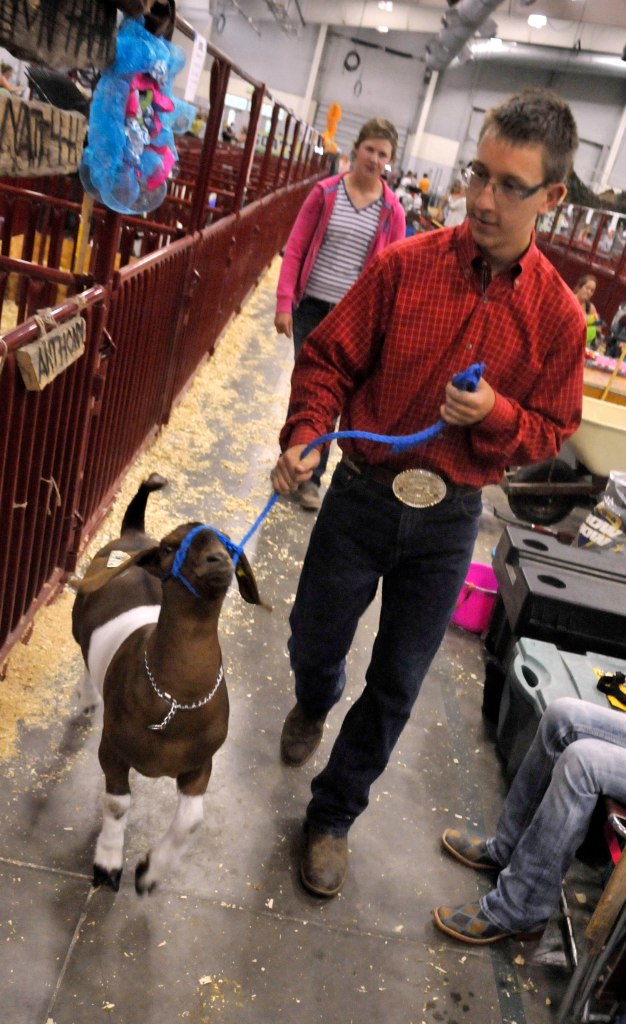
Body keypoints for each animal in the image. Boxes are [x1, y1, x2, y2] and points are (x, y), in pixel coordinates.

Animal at [71, 475, 266, 892]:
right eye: (170, 547)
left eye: (229, 544)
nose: (218, 561)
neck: (177, 698)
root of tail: (133, 532)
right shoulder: (112, 750)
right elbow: (117, 804)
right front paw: (108, 862)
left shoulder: (199, 765)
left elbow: (191, 821)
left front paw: (151, 871)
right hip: (80, 621)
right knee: (83, 652)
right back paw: (88, 697)